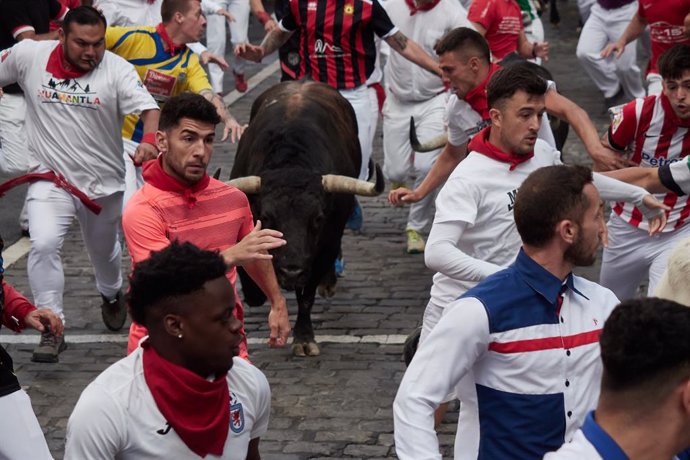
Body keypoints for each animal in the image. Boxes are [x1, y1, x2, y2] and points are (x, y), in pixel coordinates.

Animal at [228, 81, 384, 358]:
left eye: (318, 218)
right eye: (266, 216)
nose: (292, 270)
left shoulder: (324, 246)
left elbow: (307, 296)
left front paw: (303, 338)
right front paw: (255, 293)